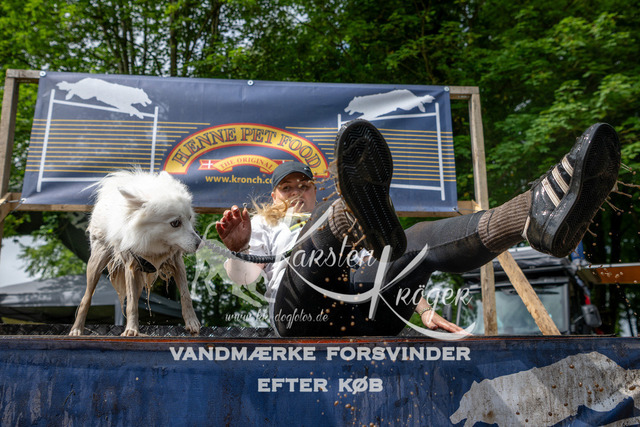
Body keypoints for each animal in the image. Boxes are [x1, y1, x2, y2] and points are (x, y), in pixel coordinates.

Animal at [69, 170, 202, 336]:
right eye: (175, 223)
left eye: (190, 218)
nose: (199, 243)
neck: (153, 243)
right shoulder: (131, 267)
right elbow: (131, 304)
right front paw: (131, 329)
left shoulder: (177, 263)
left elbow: (186, 296)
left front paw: (192, 323)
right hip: (96, 264)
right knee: (86, 299)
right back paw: (76, 329)